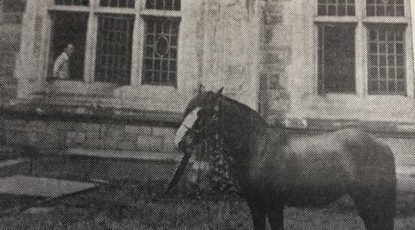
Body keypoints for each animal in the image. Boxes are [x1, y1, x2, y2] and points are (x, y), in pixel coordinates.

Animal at [166, 88, 396, 230]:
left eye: (205, 113)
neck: (258, 148)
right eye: (189, 109)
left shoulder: (274, 203)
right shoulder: (255, 203)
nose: (180, 141)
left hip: (368, 200)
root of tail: (382, 145)